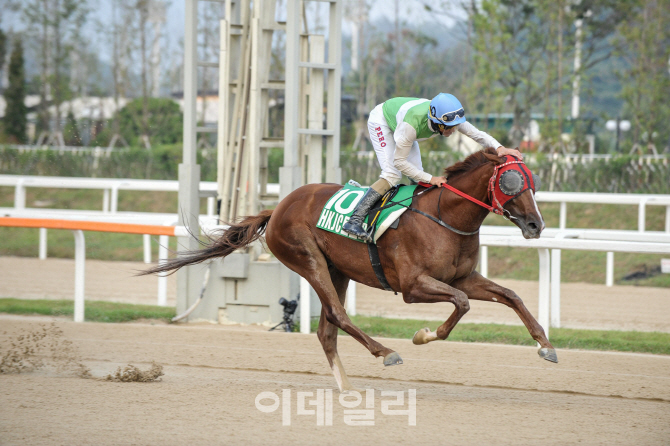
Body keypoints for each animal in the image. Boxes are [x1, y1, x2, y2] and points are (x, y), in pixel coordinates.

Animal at [144, 149, 560, 390]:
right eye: (512, 182)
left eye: (533, 182)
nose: (536, 225)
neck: (444, 217)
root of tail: (276, 208)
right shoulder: (413, 287)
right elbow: (461, 304)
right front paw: (424, 335)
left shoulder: (462, 277)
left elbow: (509, 295)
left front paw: (546, 346)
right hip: (308, 260)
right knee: (337, 315)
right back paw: (385, 352)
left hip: (338, 270)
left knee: (326, 329)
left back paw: (346, 387)